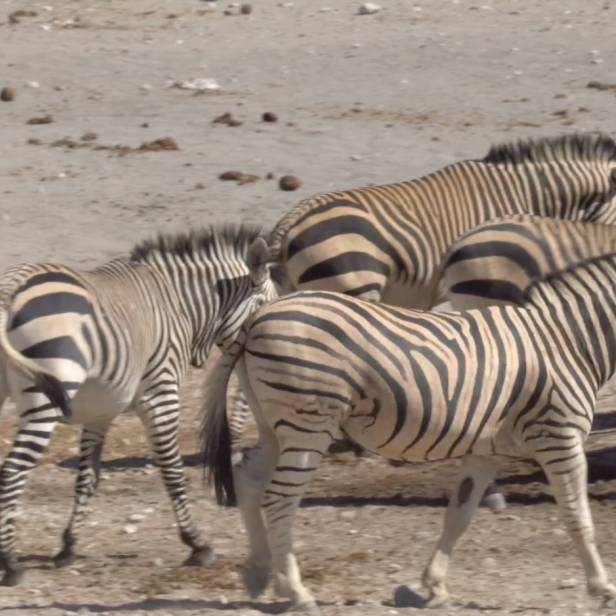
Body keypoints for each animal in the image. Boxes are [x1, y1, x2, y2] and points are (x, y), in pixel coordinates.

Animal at [0, 223, 276, 588]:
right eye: (267, 313)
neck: (179, 304)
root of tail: (10, 287)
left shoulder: (100, 410)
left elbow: (87, 477)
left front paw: (68, 547)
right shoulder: (160, 393)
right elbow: (172, 470)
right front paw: (197, 544)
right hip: (43, 400)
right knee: (12, 471)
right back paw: (11, 564)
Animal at [201, 266, 616, 612]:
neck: (568, 339)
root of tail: (257, 318)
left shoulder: (485, 450)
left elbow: (458, 515)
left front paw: (433, 585)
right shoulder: (558, 436)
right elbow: (578, 516)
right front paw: (601, 587)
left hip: (274, 425)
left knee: (248, 480)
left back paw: (259, 574)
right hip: (309, 422)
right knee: (279, 498)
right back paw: (296, 592)